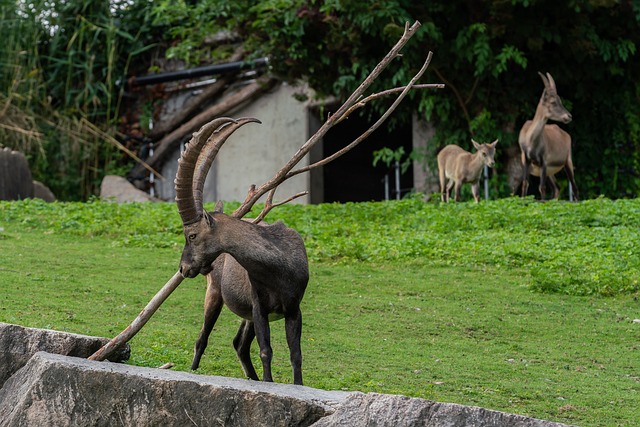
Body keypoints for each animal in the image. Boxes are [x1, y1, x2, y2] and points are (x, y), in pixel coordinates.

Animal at [172, 116, 308, 384]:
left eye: (192, 235)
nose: (184, 268)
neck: (278, 268)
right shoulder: (260, 307)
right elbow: (266, 350)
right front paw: (269, 383)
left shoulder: (293, 309)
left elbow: (295, 354)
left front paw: (297, 385)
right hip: (215, 294)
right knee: (203, 338)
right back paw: (193, 371)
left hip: (247, 315)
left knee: (239, 344)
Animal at [516, 72, 576, 201]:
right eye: (553, 102)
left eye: (560, 100)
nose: (569, 116)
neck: (531, 140)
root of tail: (566, 135)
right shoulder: (526, 160)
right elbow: (525, 184)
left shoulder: (544, 161)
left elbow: (541, 187)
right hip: (550, 173)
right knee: (556, 188)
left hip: (567, 162)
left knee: (574, 188)